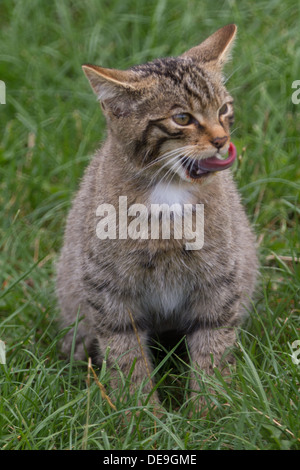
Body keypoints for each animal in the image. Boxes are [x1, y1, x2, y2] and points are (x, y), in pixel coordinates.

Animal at [56, 23, 258, 406]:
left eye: (224, 109)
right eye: (182, 118)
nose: (222, 140)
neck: (168, 194)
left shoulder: (221, 280)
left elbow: (213, 346)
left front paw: (210, 410)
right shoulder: (107, 288)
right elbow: (126, 356)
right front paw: (140, 413)